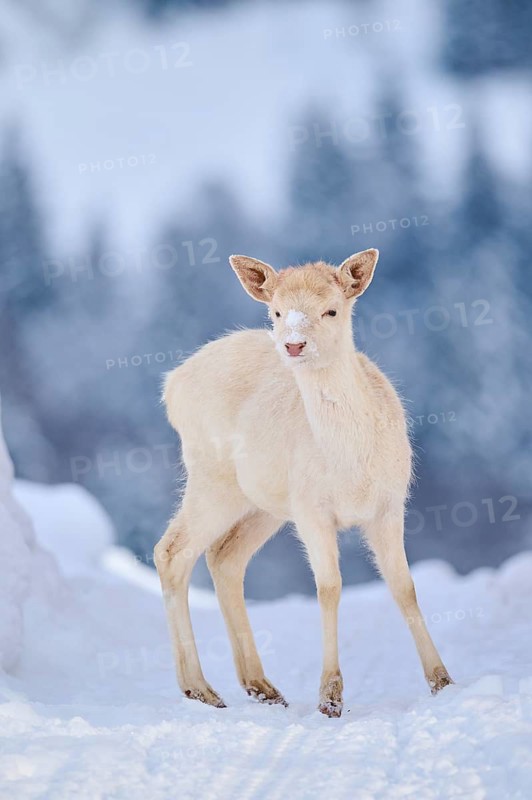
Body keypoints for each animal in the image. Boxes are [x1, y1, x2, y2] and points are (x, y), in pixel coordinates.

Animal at [154, 248, 453, 717]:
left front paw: (442, 682)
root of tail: (171, 384)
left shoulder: (390, 504)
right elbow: (329, 588)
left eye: (331, 309)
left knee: (224, 557)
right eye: (276, 312)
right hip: (212, 478)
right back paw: (201, 690)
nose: (293, 344)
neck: (350, 465)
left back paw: (261, 686)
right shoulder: (312, 510)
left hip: (264, 504)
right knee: (171, 552)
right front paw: (330, 697)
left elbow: (405, 587)